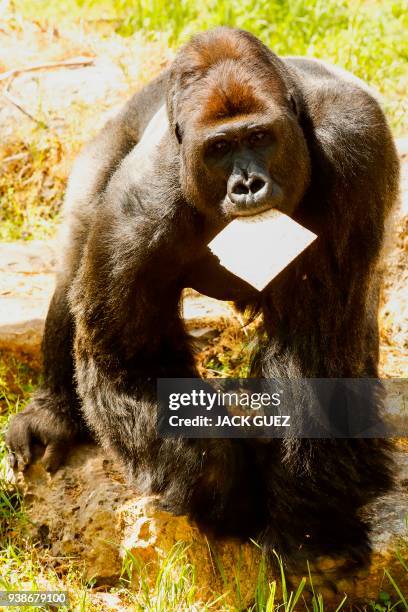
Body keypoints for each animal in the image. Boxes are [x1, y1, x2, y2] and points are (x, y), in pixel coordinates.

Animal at [7, 27, 400, 564]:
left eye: (260, 138)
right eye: (218, 149)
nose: (248, 184)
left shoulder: (355, 145)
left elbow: (318, 349)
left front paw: (310, 525)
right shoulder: (137, 209)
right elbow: (132, 363)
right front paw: (226, 484)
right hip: (109, 143)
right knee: (77, 245)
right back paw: (53, 413)